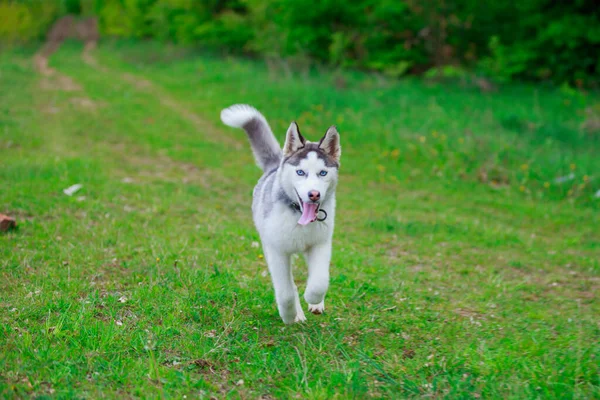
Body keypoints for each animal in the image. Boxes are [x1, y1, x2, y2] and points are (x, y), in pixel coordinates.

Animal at [221, 104, 342, 324]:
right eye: (300, 172)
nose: (314, 194)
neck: (298, 216)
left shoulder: (320, 243)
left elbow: (320, 280)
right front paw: (288, 315)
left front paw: (313, 299)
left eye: (323, 173)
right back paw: (297, 314)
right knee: (289, 285)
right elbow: (285, 291)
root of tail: (275, 165)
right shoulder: (277, 251)